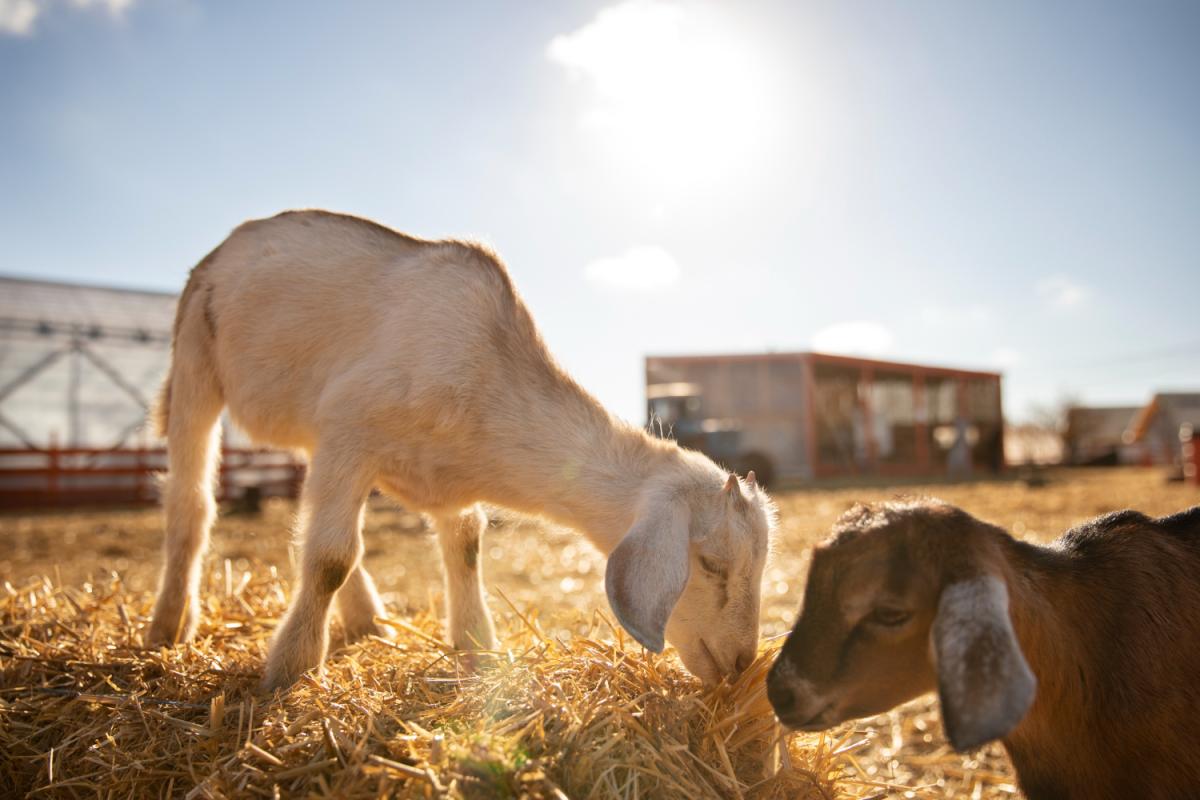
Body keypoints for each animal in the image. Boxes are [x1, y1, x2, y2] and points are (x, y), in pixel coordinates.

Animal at [147, 211, 777, 690]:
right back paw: (167, 627)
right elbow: (329, 557)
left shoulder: (428, 473)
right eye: (711, 564)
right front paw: (290, 667)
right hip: (196, 356)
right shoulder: (351, 430)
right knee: (192, 502)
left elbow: (465, 547)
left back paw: (368, 621)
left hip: (310, 428)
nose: (741, 663)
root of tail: (226, 246)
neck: (486, 376)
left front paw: (478, 648)